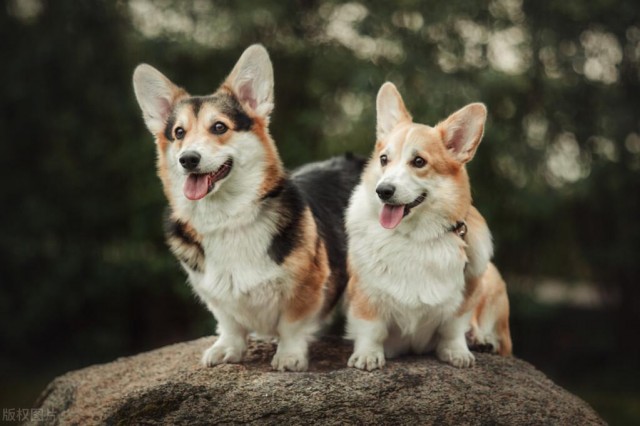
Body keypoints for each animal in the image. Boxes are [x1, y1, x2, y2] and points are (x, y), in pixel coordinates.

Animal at [132, 45, 362, 372]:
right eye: (178, 133)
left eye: (219, 127)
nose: (187, 159)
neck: (226, 217)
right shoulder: (212, 293)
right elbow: (229, 323)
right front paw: (227, 348)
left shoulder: (307, 285)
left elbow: (292, 325)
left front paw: (289, 356)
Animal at [344, 82, 510, 370]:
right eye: (384, 159)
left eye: (419, 162)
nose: (383, 191)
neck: (414, 237)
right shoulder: (366, 294)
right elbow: (370, 328)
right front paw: (367, 355)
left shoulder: (464, 295)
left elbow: (454, 328)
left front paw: (457, 352)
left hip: (492, 280)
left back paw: (480, 339)